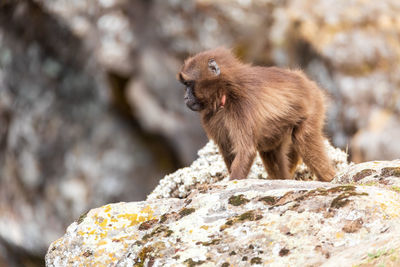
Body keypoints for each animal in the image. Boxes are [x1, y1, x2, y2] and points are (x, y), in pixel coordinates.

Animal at [177, 48, 336, 182]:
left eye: (188, 84)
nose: (185, 98)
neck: (225, 92)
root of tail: (306, 81)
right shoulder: (212, 117)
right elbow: (229, 150)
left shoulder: (242, 107)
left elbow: (245, 150)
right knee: (270, 151)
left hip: (313, 105)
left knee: (302, 137)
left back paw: (329, 178)